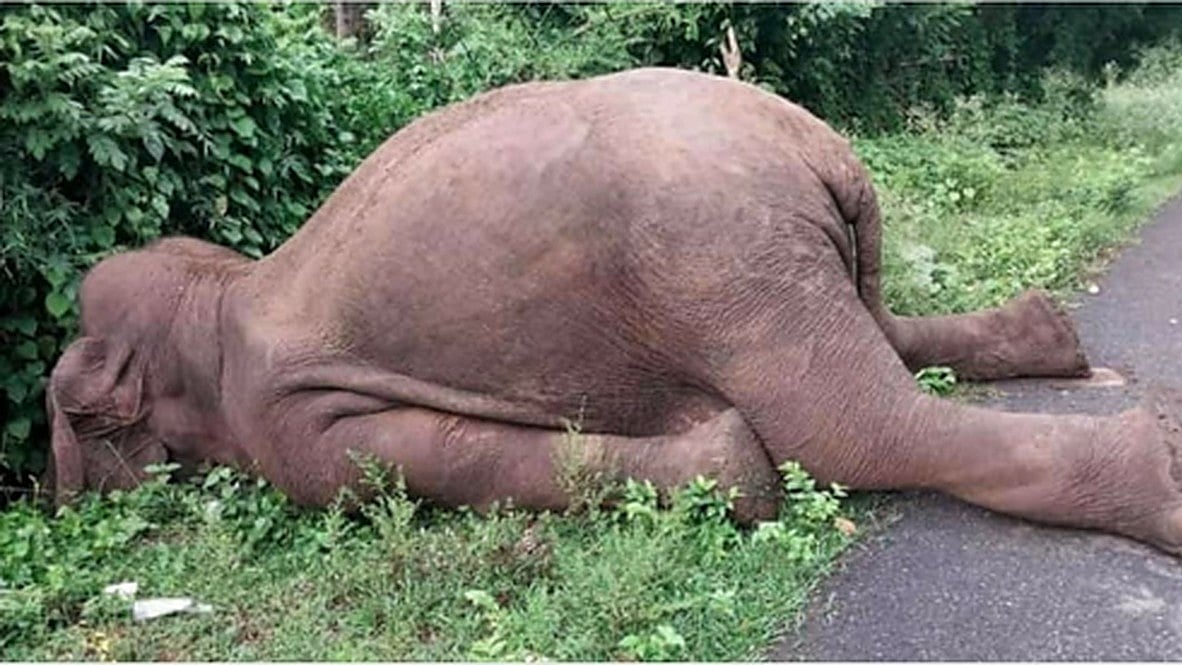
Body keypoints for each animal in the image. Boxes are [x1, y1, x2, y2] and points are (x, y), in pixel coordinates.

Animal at [46, 67, 1182, 555]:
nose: (55, 499)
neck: (222, 294)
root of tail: (820, 149)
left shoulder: (288, 428)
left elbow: (375, 466)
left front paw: (727, 463)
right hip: (776, 256)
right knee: (883, 338)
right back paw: (1050, 338)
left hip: (721, 257)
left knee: (851, 425)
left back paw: (1155, 478)